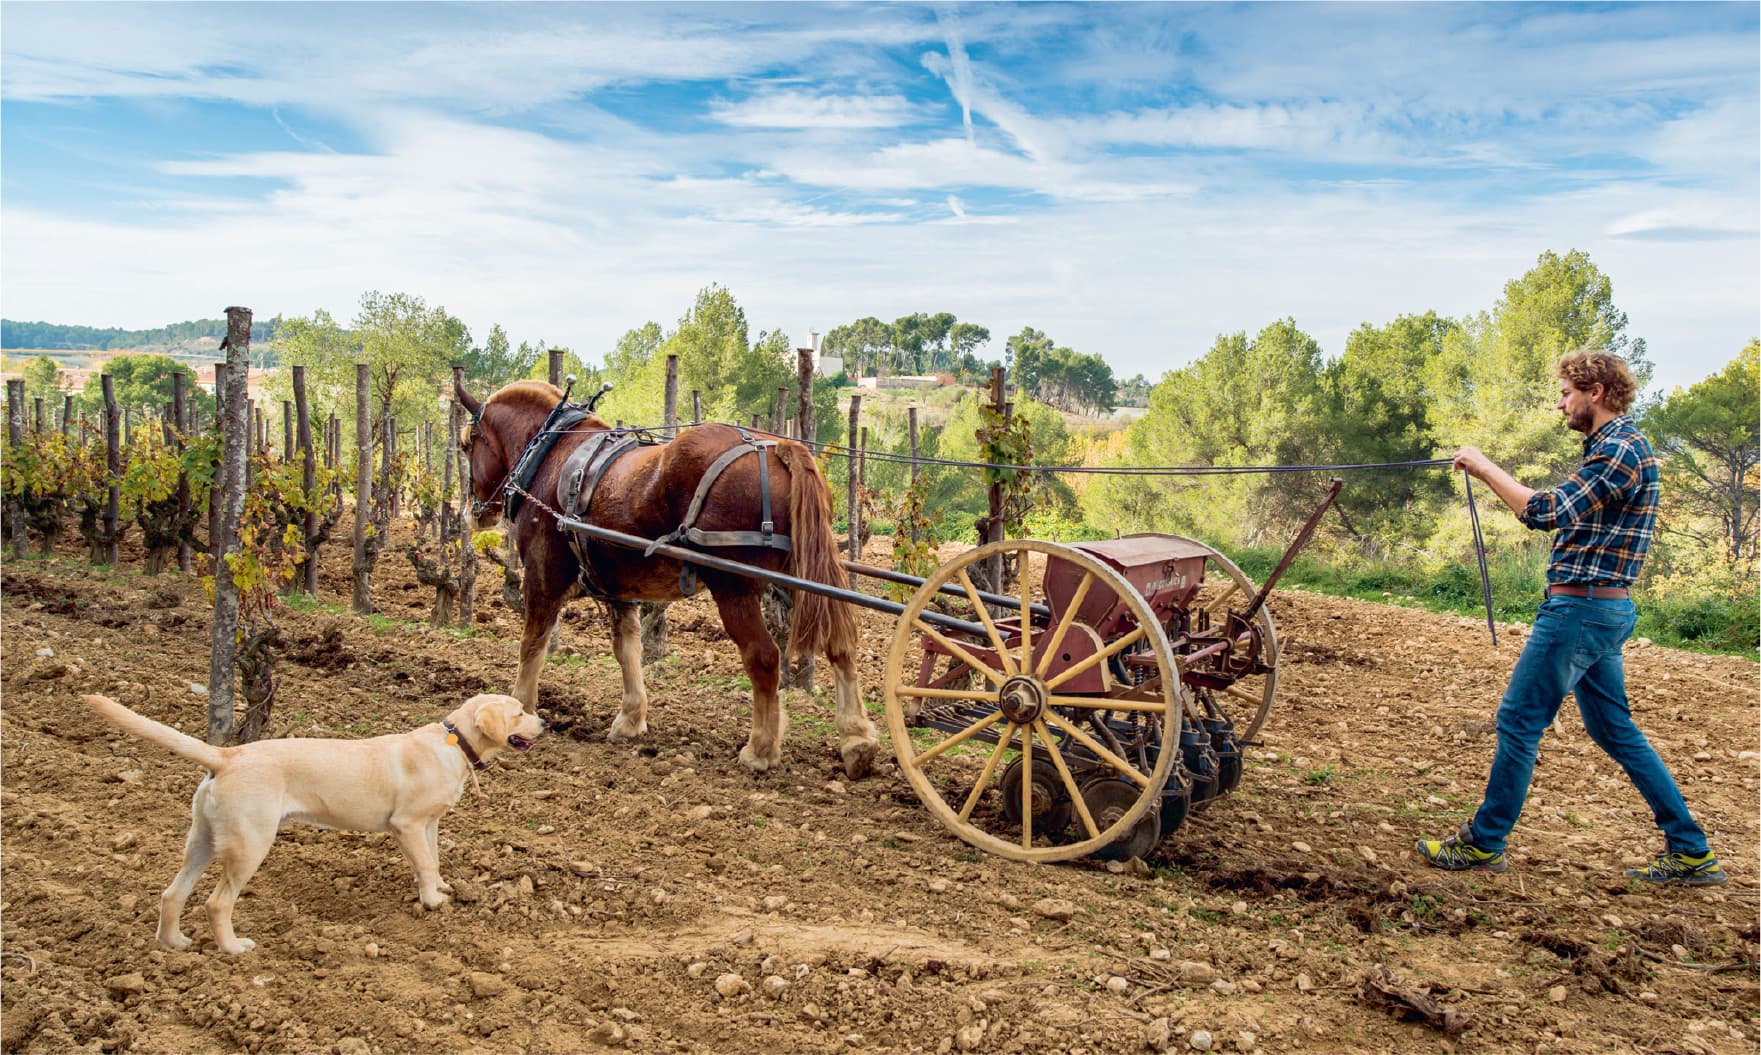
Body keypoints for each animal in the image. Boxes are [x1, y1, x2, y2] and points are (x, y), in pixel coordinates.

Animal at [81, 693, 542, 958]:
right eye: (520, 712)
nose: (547, 723)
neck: (454, 742)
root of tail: (227, 756)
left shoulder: (428, 824)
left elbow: (432, 860)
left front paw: (442, 889)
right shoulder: (407, 824)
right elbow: (426, 864)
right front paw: (432, 903)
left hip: (203, 841)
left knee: (172, 894)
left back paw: (173, 944)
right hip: (250, 844)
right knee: (216, 903)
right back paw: (233, 948)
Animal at [457, 380, 876, 774]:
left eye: (466, 445)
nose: (475, 512)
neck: (550, 454)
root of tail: (778, 448)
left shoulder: (542, 579)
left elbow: (532, 646)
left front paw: (520, 711)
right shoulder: (619, 590)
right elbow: (627, 649)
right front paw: (630, 719)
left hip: (733, 585)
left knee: (763, 657)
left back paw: (760, 750)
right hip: (804, 572)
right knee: (840, 644)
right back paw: (857, 740)